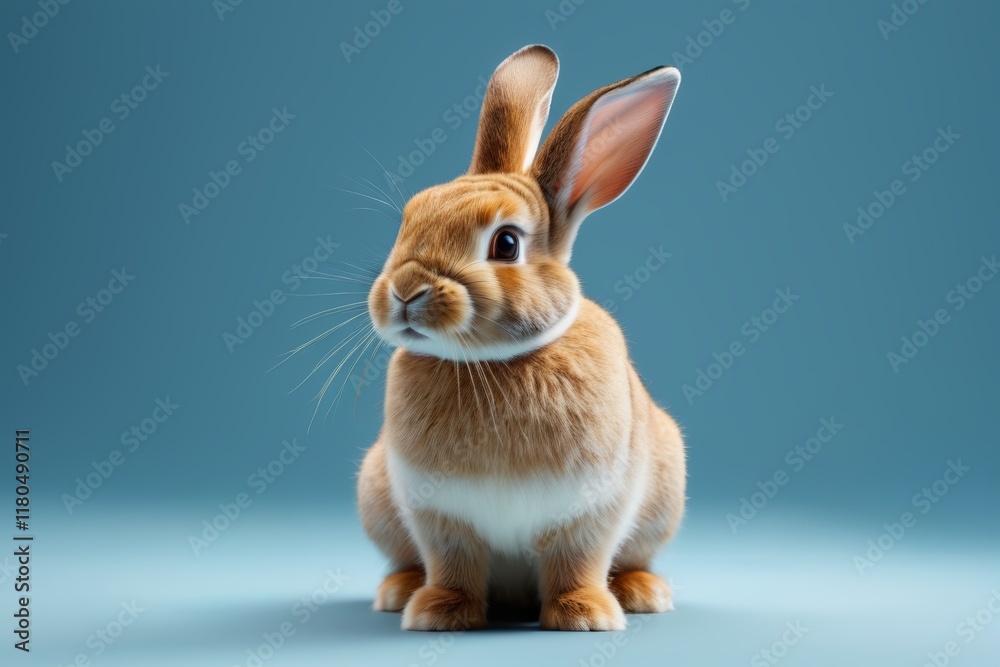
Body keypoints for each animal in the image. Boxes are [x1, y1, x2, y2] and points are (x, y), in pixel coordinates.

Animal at [357, 44, 685, 632]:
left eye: (506, 244)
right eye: (409, 219)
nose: (406, 290)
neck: (493, 362)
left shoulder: (591, 508)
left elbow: (578, 559)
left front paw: (585, 615)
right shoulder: (439, 514)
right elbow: (453, 562)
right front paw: (438, 613)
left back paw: (642, 592)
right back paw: (398, 591)